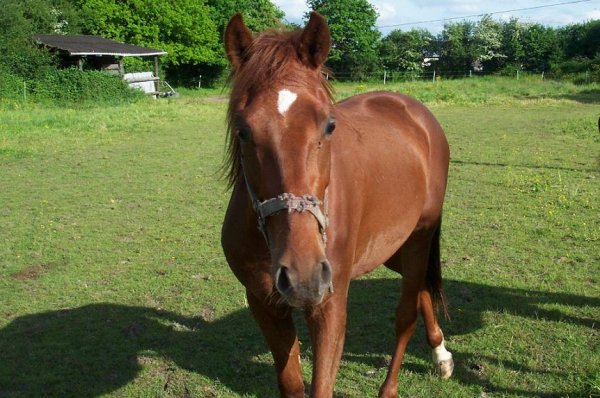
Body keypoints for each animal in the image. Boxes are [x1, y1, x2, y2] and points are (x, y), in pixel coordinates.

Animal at [220, 12, 450, 398]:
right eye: (242, 130)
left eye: (329, 126)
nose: (303, 275)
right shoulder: (264, 304)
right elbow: (291, 384)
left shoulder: (329, 306)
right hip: (393, 248)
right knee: (420, 288)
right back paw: (441, 353)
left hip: (419, 237)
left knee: (406, 314)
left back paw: (392, 386)